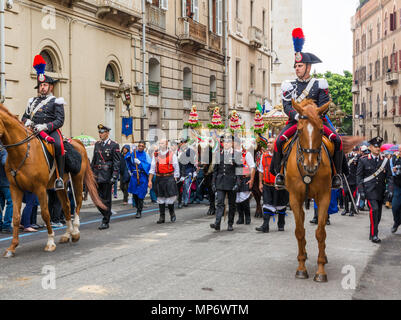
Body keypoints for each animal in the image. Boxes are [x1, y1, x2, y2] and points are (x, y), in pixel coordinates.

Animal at [0, 104, 105, 258]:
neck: (23, 152)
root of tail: (78, 142)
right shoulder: (15, 188)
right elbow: (16, 217)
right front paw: (12, 247)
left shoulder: (40, 189)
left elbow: (45, 214)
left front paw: (50, 242)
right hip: (61, 185)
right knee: (67, 205)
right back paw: (67, 234)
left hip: (77, 179)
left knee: (78, 202)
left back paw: (75, 232)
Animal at [284, 98, 360, 282]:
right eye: (299, 130)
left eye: (320, 130)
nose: (310, 166)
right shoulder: (294, 198)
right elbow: (299, 231)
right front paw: (301, 268)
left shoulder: (325, 197)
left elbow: (320, 232)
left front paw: (320, 270)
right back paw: (303, 254)